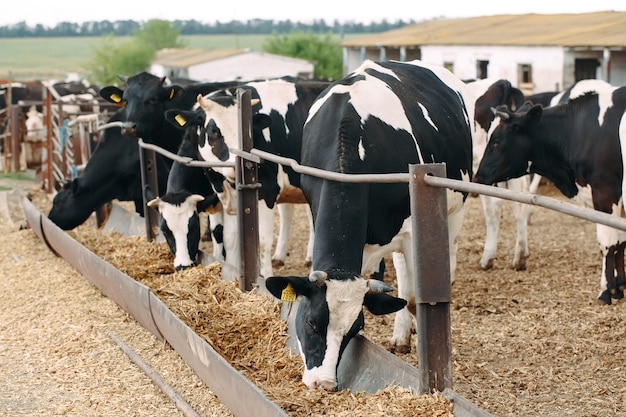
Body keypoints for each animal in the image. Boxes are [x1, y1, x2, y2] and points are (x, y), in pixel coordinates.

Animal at [260, 59, 470, 390]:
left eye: (354, 328)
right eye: (311, 322)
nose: (324, 384)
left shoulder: (412, 231)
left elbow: (414, 299)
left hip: (455, 205)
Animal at [472, 80, 624, 302]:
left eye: (497, 141)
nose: (478, 177)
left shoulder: (605, 191)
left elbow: (608, 242)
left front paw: (606, 290)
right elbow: (621, 241)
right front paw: (619, 287)